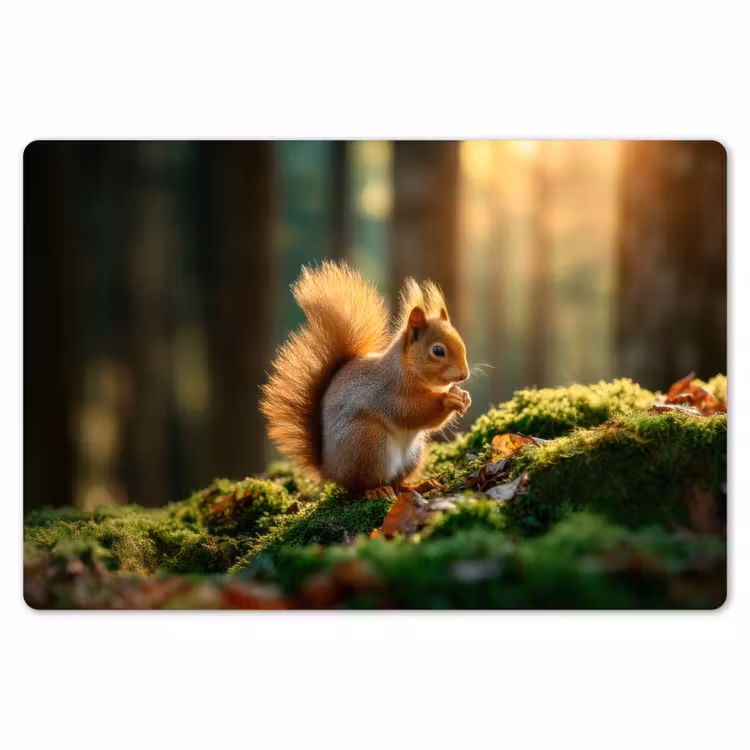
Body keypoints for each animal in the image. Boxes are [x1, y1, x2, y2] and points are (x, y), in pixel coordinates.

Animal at [259, 261, 471, 499]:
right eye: (437, 351)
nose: (464, 375)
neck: (406, 369)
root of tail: (329, 470)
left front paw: (463, 397)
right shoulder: (389, 392)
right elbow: (413, 411)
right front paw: (448, 400)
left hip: (412, 455)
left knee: (398, 483)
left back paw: (418, 486)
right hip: (367, 443)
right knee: (361, 486)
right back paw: (376, 491)